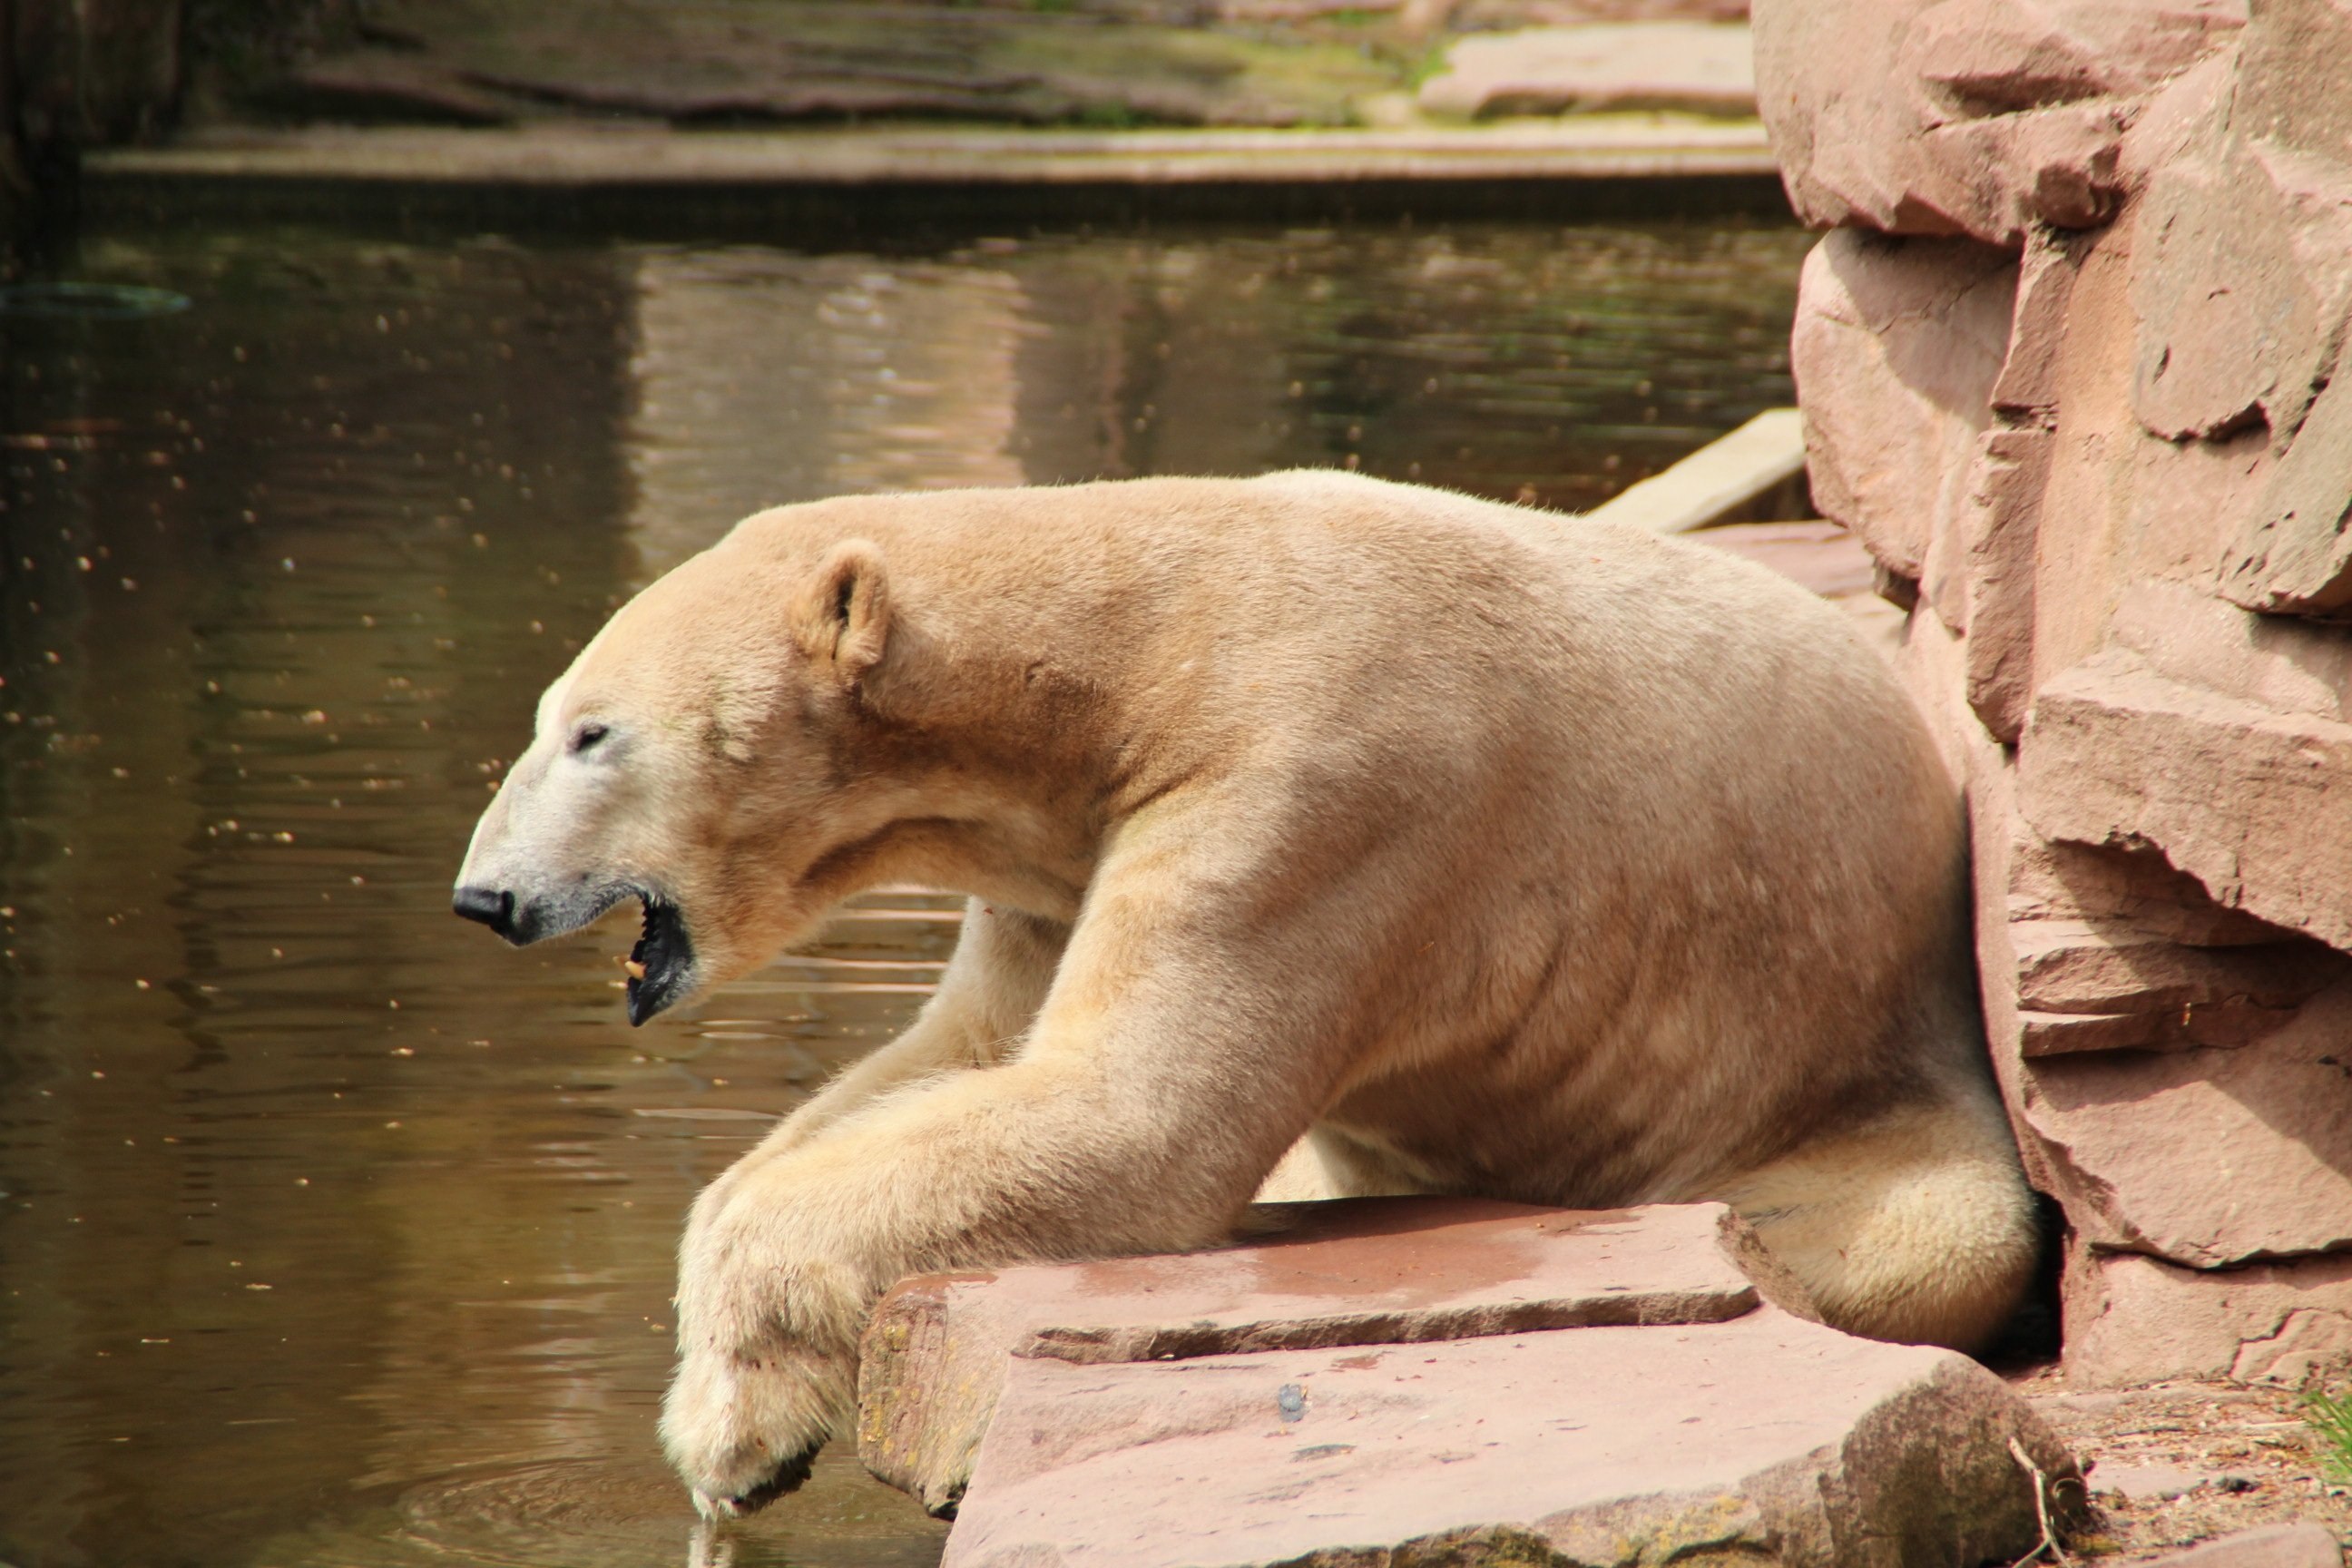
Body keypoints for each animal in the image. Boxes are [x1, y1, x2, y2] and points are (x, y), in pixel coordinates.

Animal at [449, 470, 2032, 1523]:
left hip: (1849, 1079)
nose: (482, 898)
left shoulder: (1312, 787)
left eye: (591, 732)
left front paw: (737, 1432)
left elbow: (1131, 1118)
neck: (1131, 639)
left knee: (1924, 1231)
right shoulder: (1055, 859)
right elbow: (964, 1053)